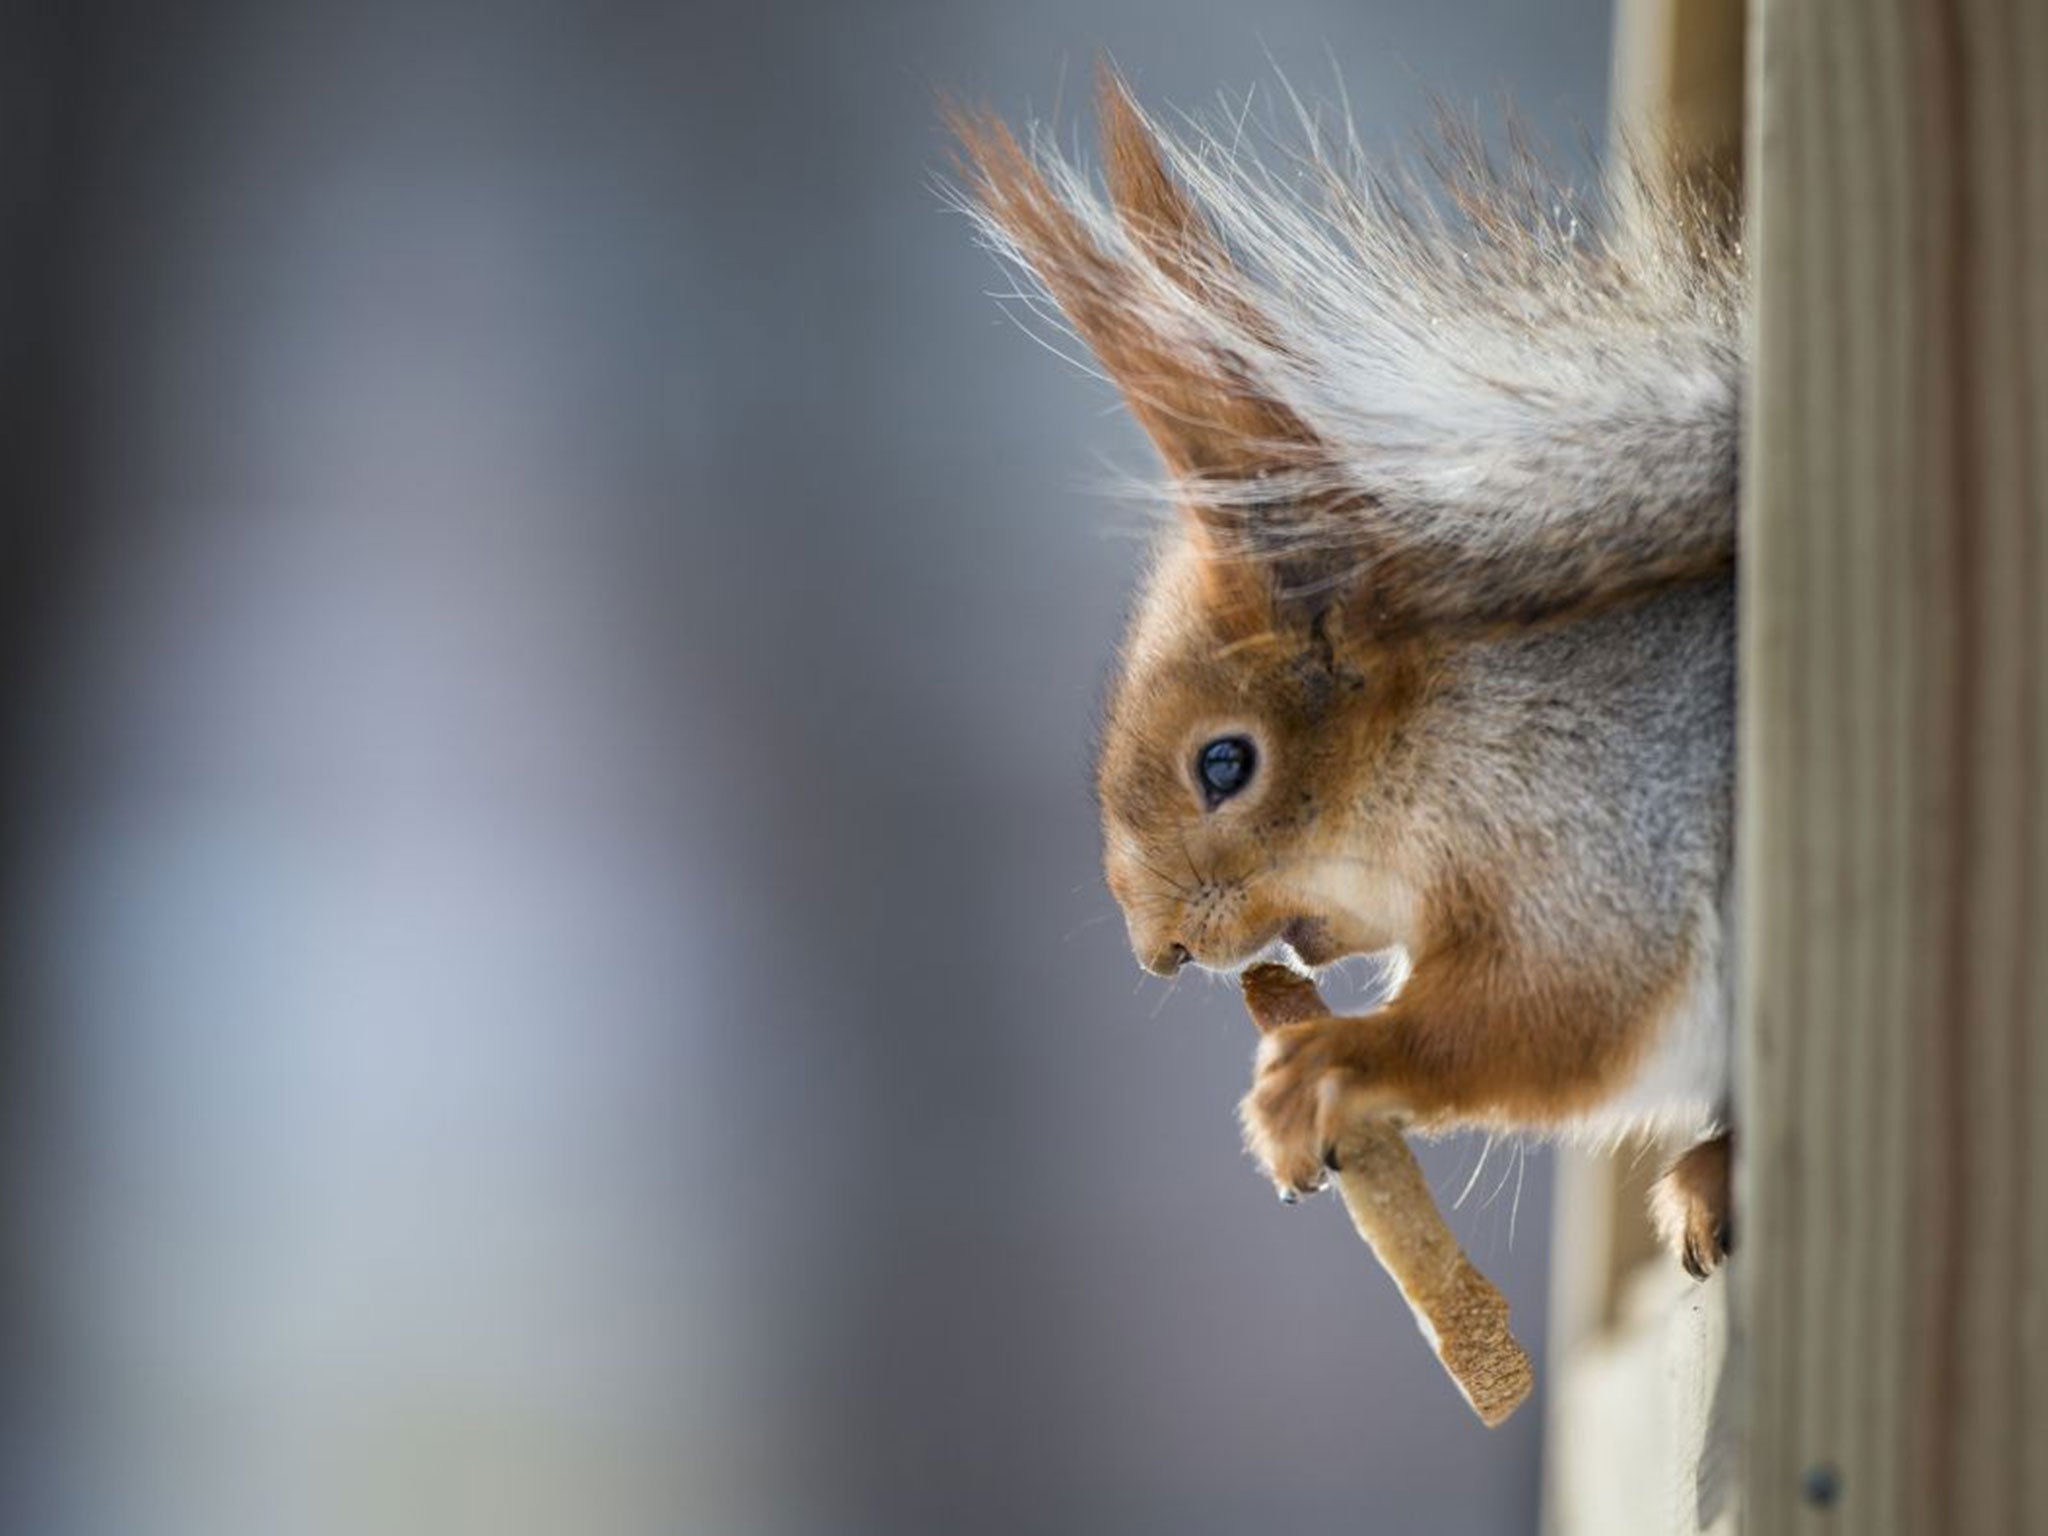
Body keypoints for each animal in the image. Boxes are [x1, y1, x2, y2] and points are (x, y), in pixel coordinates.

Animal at [950, 69, 1736, 1277]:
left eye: (1225, 764)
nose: (1161, 952)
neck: (1441, 738)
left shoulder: (1595, 829)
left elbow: (1551, 1015)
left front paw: (1326, 1068)